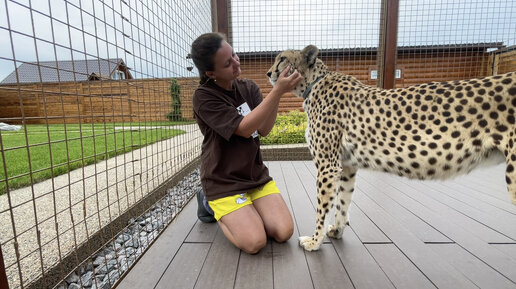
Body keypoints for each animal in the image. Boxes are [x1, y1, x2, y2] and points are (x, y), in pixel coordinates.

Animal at [266, 44, 516, 250]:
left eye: (282, 59)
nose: (269, 73)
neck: (314, 83)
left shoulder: (328, 165)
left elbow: (323, 206)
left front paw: (314, 241)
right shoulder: (346, 165)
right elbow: (343, 201)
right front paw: (336, 231)